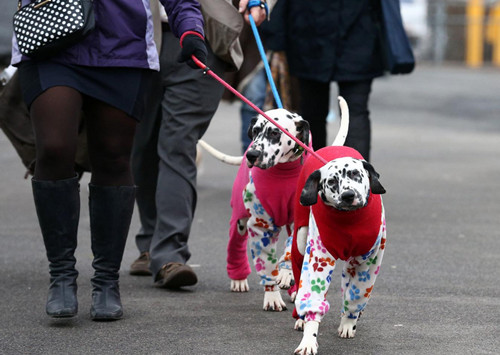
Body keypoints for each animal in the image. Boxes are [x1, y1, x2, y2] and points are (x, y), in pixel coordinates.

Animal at [292, 145, 388, 355]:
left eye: (355, 174)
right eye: (332, 182)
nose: (348, 195)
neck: (349, 220)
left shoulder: (369, 262)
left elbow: (356, 294)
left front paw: (348, 322)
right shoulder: (318, 259)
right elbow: (313, 297)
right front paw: (308, 340)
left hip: (353, 263)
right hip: (301, 240)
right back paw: (300, 319)